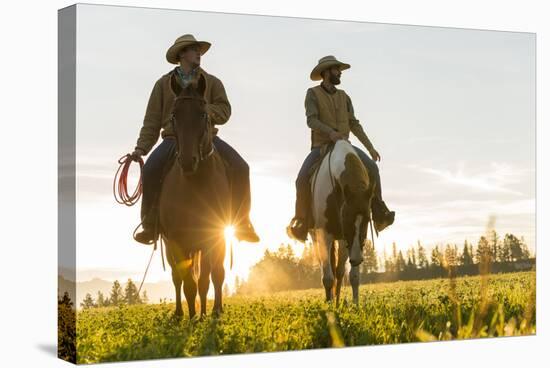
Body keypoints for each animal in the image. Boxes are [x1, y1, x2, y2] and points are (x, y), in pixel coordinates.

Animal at [158, 75, 232, 320]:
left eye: (202, 114)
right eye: (174, 115)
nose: (187, 161)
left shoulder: (214, 235)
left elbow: (212, 276)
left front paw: (214, 312)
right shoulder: (177, 241)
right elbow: (188, 282)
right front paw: (192, 318)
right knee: (177, 278)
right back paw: (180, 313)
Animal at [310, 139, 376, 304]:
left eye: (368, 219)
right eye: (346, 218)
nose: (357, 259)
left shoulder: (349, 240)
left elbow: (353, 276)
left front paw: (355, 305)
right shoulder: (325, 235)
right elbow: (327, 278)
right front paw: (328, 304)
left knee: (339, 271)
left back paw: (337, 301)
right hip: (316, 238)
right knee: (325, 268)